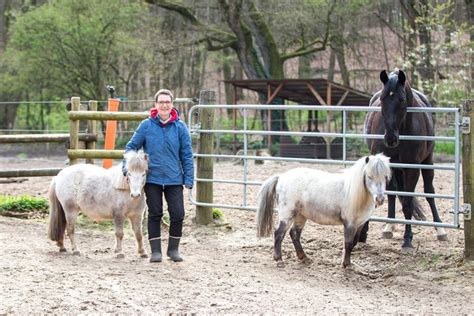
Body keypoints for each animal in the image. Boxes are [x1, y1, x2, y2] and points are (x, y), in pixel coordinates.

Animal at [258, 154, 390, 268]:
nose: (380, 199)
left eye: (385, 176)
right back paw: (279, 260)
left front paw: (347, 262)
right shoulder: (349, 224)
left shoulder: (360, 224)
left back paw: (303, 257)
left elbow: (353, 243)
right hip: (287, 214)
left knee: (294, 233)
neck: (354, 193)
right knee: (279, 233)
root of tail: (281, 177)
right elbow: (348, 243)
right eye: (369, 176)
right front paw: (346, 265)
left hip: (300, 215)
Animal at [362, 69, 446, 249]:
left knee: (429, 191)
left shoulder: (412, 168)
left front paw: (408, 238)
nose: (390, 138)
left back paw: (440, 229)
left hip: (427, 161)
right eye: (382, 99)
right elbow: (394, 195)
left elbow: (408, 202)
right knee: (393, 193)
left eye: (402, 100)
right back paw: (389, 226)